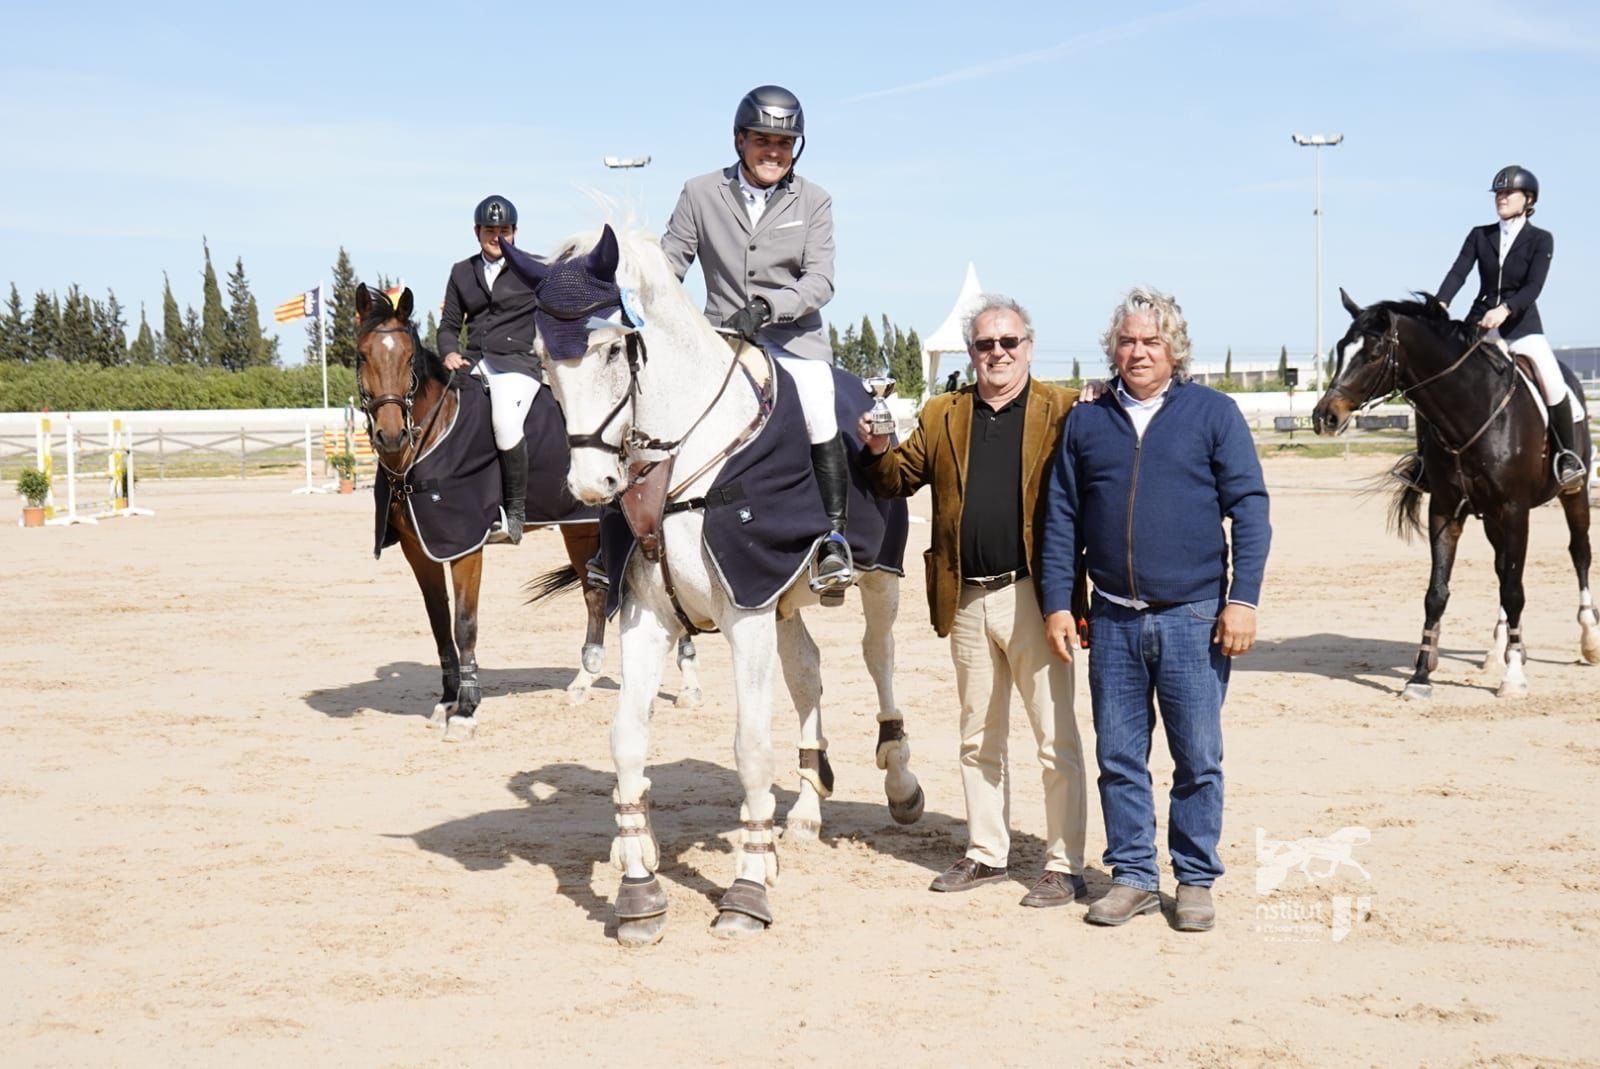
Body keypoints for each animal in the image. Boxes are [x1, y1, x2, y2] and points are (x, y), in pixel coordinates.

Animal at [356, 281, 624, 736]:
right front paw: (447, 700)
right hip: (581, 524)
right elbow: (438, 622)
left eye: (409, 358)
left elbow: (465, 623)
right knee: (595, 592)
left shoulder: (465, 546)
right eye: (361, 356)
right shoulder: (419, 547)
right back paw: (583, 681)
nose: (390, 436)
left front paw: (466, 709)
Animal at [499, 225, 928, 940]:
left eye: (613, 347)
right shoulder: (654, 616)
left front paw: (748, 889)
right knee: (808, 672)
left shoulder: (746, 613)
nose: (592, 486)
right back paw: (805, 809)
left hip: (876, 579)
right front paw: (638, 887)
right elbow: (626, 738)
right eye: (542, 359)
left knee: (879, 657)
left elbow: (750, 746)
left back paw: (899, 784)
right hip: (783, 603)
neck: (685, 462)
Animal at [1312, 289, 1600, 700]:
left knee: (1579, 553)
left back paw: (1587, 641)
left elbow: (1515, 590)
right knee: (1503, 567)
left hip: (1570, 494)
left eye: (1374, 353)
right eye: (1340, 348)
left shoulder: (1515, 509)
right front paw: (1420, 676)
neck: (1470, 410)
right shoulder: (1445, 510)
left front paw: (1514, 678)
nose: (1324, 417)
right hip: (1492, 517)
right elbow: (1438, 592)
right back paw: (1499, 650)